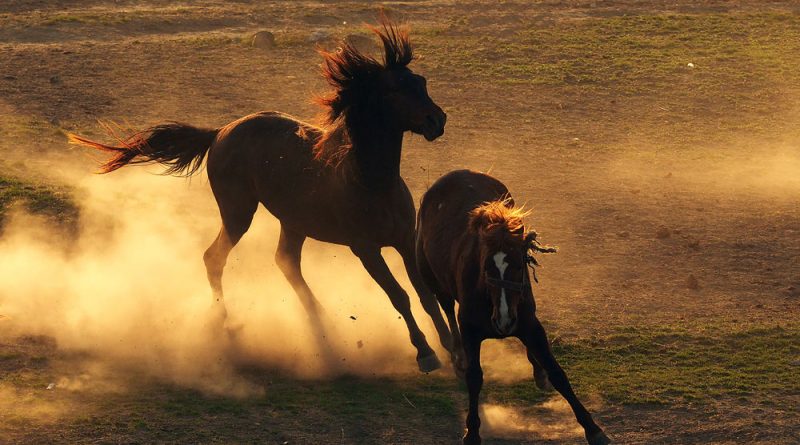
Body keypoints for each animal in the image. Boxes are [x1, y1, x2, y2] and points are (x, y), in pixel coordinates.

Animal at [69, 17, 454, 372]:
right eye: (396, 89)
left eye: (421, 82)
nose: (437, 121)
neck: (370, 181)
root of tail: (220, 132)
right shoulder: (366, 249)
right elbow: (399, 296)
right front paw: (426, 353)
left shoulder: (404, 239)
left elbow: (425, 295)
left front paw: (452, 347)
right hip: (239, 212)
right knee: (215, 258)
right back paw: (227, 323)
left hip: (292, 222)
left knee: (286, 262)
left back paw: (324, 324)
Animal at [416, 168, 608, 442]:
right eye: (486, 266)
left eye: (519, 265)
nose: (505, 319)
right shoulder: (470, 330)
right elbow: (474, 377)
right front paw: (472, 431)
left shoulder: (531, 324)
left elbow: (557, 372)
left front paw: (593, 428)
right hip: (433, 280)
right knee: (447, 311)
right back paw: (458, 356)